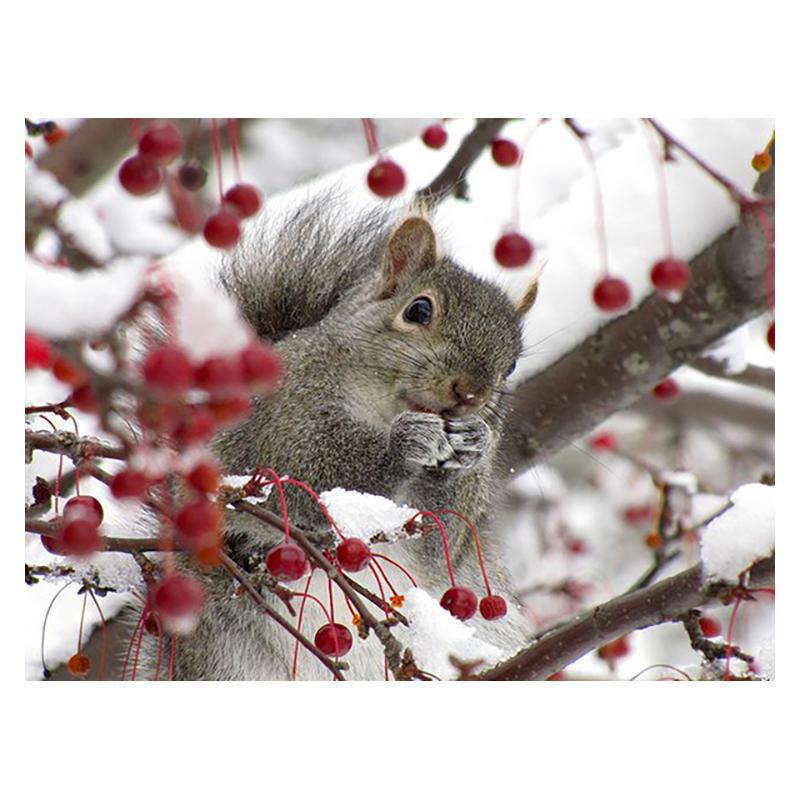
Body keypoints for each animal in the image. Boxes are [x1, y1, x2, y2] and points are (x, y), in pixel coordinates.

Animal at [137, 192, 540, 680]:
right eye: (418, 310)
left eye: (513, 363)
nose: (470, 393)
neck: (384, 408)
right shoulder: (284, 417)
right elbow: (311, 465)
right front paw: (405, 444)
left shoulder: (446, 542)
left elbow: (438, 538)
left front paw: (473, 443)